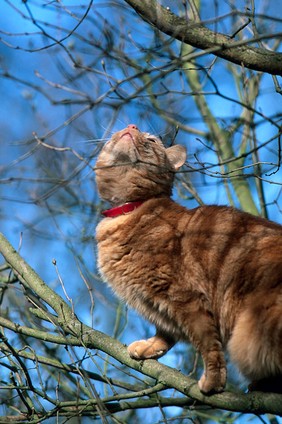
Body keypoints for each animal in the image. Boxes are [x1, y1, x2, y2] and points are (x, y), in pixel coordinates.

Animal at [95, 123, 282, 394]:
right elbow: (165, 333)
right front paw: (150, 347)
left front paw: (214, 380)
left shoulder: (185, 296)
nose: (132, 126)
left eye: (151, 140)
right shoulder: (158, 304)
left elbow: (207, 343)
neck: (129, 209)